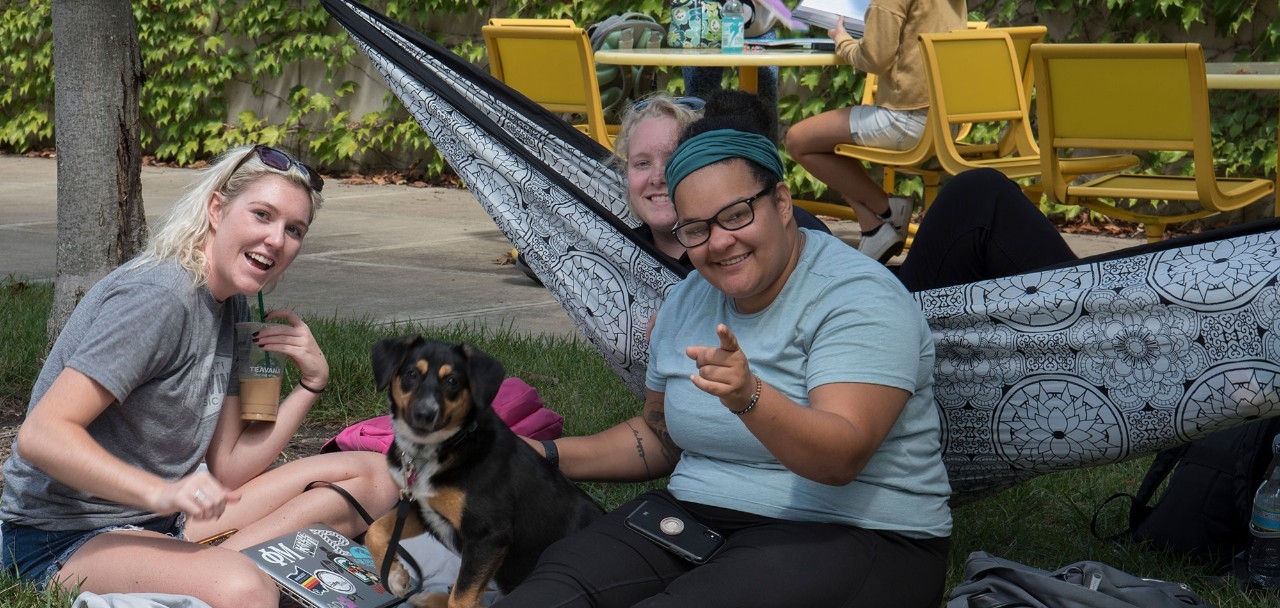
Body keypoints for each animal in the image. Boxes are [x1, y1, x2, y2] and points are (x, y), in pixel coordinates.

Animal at [363, 335, 596, 608]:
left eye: (452, 381)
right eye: (411, 373)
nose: (424, 414)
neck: (445, 449)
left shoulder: (488, 535)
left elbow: (461, 599)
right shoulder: (420, 508)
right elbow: (374, 530)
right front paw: (395, 576)